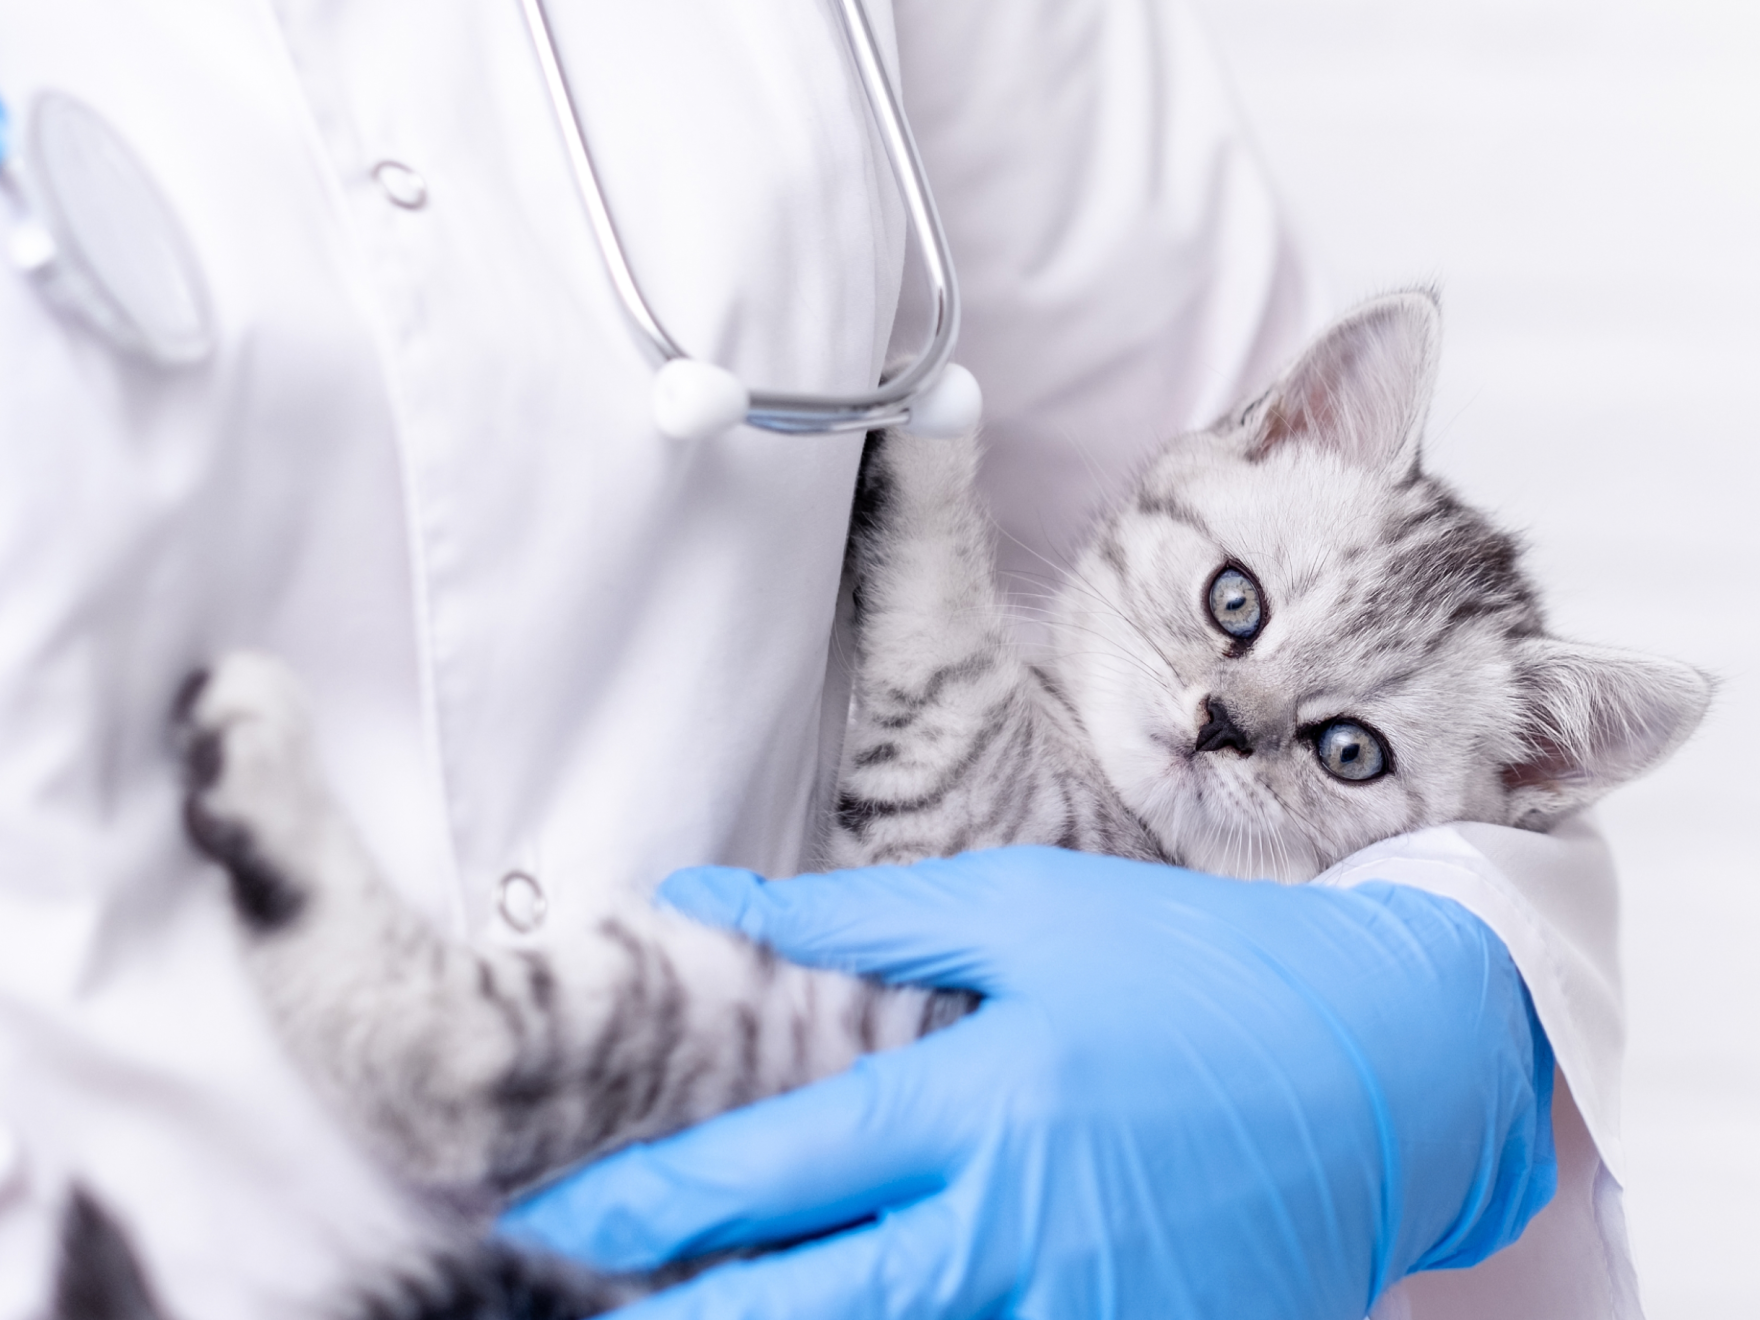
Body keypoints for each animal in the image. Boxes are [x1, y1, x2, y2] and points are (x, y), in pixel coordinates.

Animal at [65, 292, 1703, 1320]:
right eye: (1235, 602)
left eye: (1347, 752)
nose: (1221, 725)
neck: (1082, 762)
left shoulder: (967, 797)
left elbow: (943, 604)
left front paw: (929, 432)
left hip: (778, 1017)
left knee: (454, 1058)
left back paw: (262, 779)